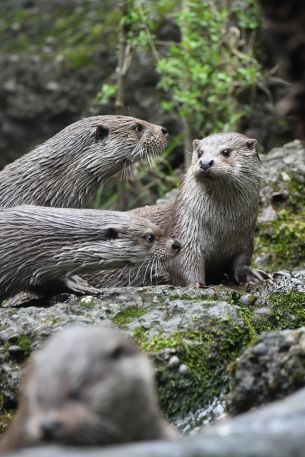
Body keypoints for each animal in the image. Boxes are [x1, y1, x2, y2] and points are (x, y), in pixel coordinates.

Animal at [86, 132, 268, 286]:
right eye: (200, 153)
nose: (205, 162)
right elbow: (184, 263)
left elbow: (241, 262)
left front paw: (253, 274)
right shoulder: (186, 232)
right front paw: (197, 284)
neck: (222, 228)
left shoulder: (245, 239)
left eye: (226, 151)